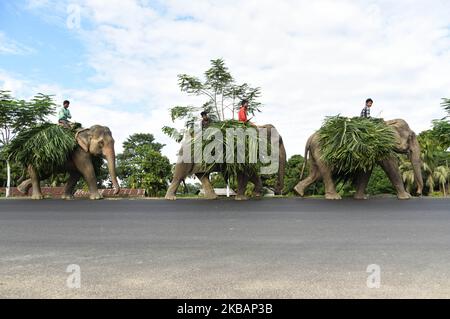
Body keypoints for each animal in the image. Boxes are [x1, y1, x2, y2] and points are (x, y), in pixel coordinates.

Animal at [294, 119, 424, 200]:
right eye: (411, 136)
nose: (418, 193)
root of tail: (310, 138)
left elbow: (366, 170)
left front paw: (361, 198)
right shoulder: (383, 146)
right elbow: (391, 166)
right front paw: (406, 197)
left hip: (314, 152)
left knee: (316, 174)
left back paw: (298, 191)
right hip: (320, 149)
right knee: (325, 171)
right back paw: (334, 197)